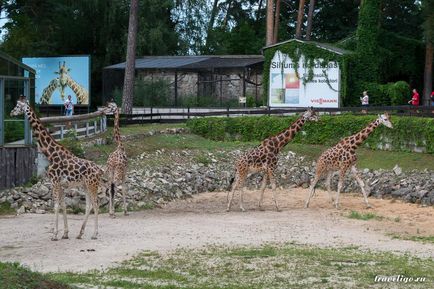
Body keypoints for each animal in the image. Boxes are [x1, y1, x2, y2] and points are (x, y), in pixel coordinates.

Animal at [10, 95, 107, 240]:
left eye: (17, 105)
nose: (11, 112)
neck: (50, 154)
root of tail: (100, 170)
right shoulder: (60, 184)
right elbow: (63, 205)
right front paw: (65, 233)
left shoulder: (55, 181)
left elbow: (55, 206)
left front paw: (54, 234)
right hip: (85, 185)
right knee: (89, 204)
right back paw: (80, 233)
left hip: (92, 184)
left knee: (96, 203)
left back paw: (95, 234)